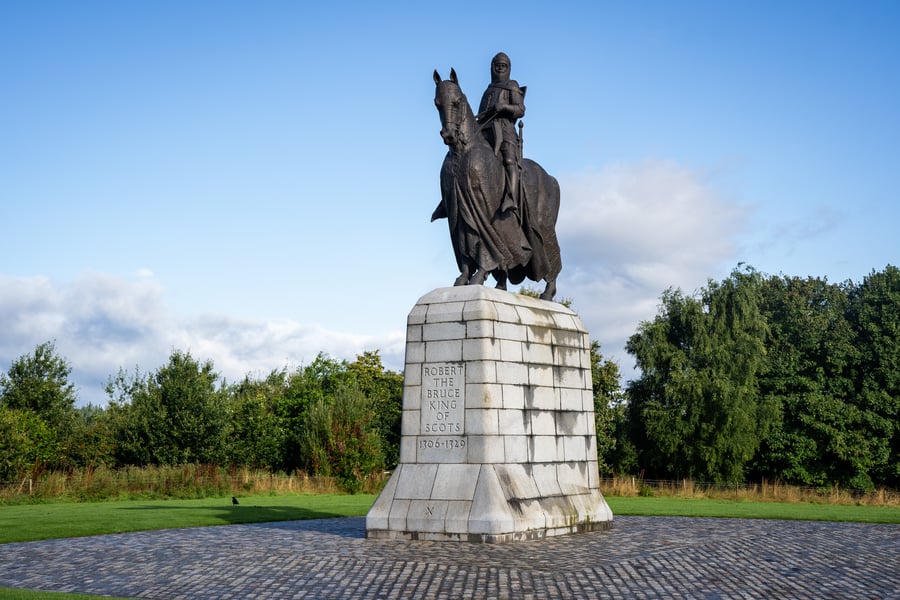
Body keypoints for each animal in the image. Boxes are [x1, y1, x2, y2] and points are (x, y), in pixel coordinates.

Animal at [430, 68, 564, 302]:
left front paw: (479, 275)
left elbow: (483, 243)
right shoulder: (459, 211)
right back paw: (501, 286)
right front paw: (463, 278)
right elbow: (466, 244)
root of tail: (551, 179)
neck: (463, 151)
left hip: (545, 224)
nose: (448, 135)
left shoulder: (482, 209)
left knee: (551, 253)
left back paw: (548, 293)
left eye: (457, 101)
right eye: (437, 103)